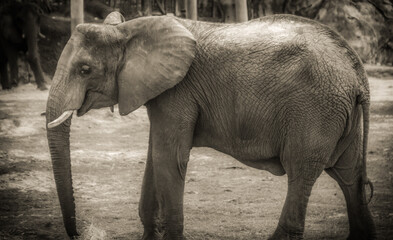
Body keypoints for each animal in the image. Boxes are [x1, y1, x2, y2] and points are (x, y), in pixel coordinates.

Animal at [45, 10, 374, 240]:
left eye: (84, 69)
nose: (77, 232)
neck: (129, 30)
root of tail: (358, 73)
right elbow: (155, 157)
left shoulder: (178, 91)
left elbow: (168, 159)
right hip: (338, 115)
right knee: (348, 177)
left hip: (315, 111)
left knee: (301, 172)